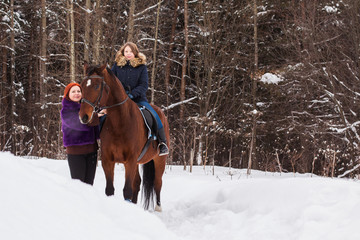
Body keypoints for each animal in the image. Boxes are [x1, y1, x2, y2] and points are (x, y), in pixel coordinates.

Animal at [79, 62, 169, 211]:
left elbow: (127, 190)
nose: (83, 116)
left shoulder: (130, 161)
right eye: (81, 85)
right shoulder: (108, 161)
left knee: (157, 183)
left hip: (159, 159)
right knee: (137, 183)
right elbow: (110, 189)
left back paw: (158, 208)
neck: (120, 122)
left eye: (97, 86)